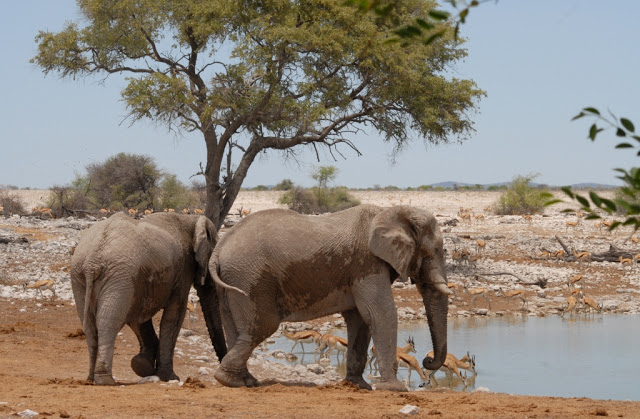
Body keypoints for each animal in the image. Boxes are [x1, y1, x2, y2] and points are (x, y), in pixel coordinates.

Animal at [70, 212, 228, 386]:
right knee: (108, 322)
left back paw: (91, 379)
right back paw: (105, 380)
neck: (190, 220)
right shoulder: (183, 270)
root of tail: (93, 259)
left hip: (81, 275)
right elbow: (173, 316)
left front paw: (143, 366)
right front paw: (169, 377)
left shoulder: (141, 280)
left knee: (90, 326)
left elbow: (139, 316)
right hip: (118, 275)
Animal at [208, 205, 452, 392]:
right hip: (250, 279)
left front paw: (359, 386)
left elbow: (360, 319)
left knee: (236, 328)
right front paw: (394, 389)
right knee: (262, 327)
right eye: (436, 250)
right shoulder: (367, 263)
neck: (392, 212)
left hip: (232, 279)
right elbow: (381, 314)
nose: (427, 360)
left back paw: (243, 381)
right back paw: (229, 380)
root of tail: (219, 248)